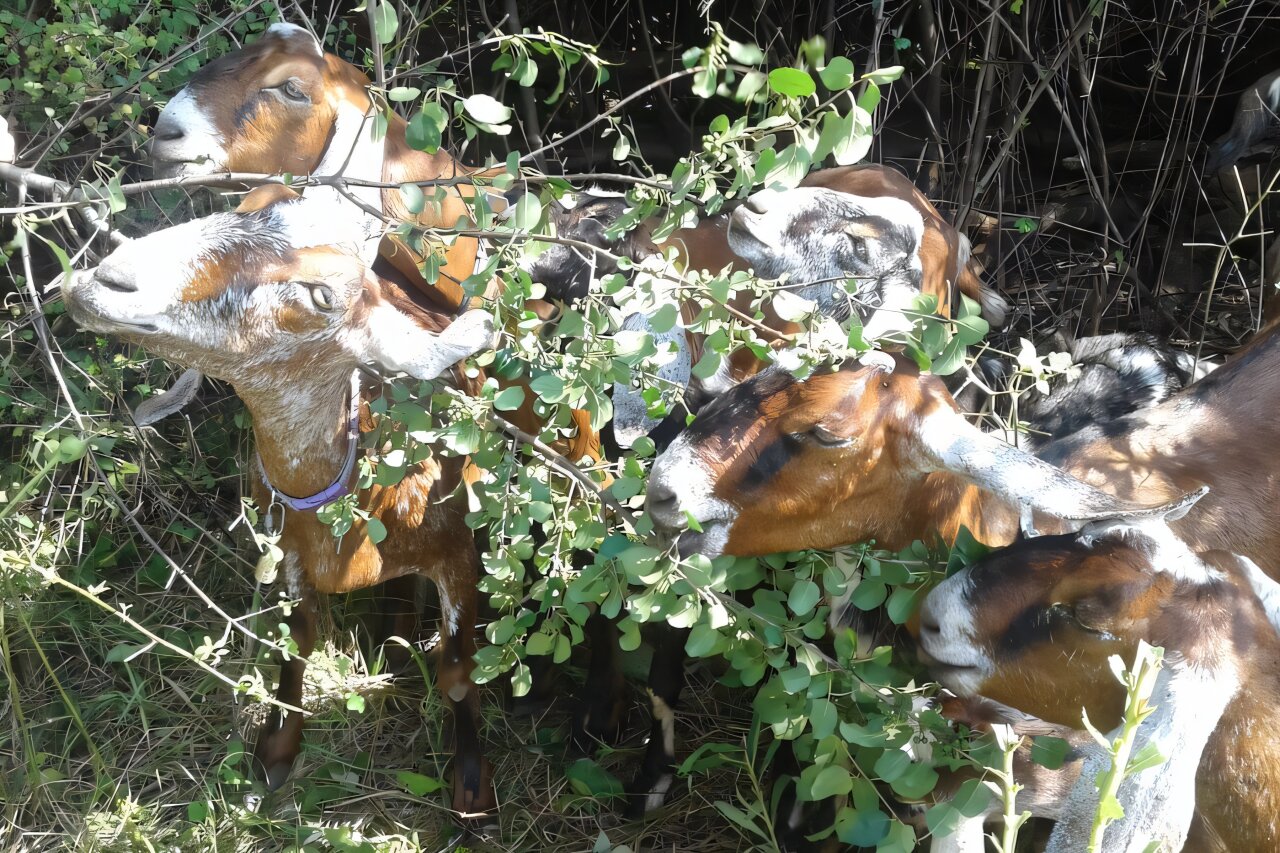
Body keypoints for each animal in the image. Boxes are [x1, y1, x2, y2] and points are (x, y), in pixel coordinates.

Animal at [61, 186, 499, 814]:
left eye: (321, 295)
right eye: (247, 205)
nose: (107, 278)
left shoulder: (459, 551)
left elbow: (460, 673)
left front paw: (471, 788)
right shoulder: (286, 551)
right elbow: (294, 646)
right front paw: (274, 753)